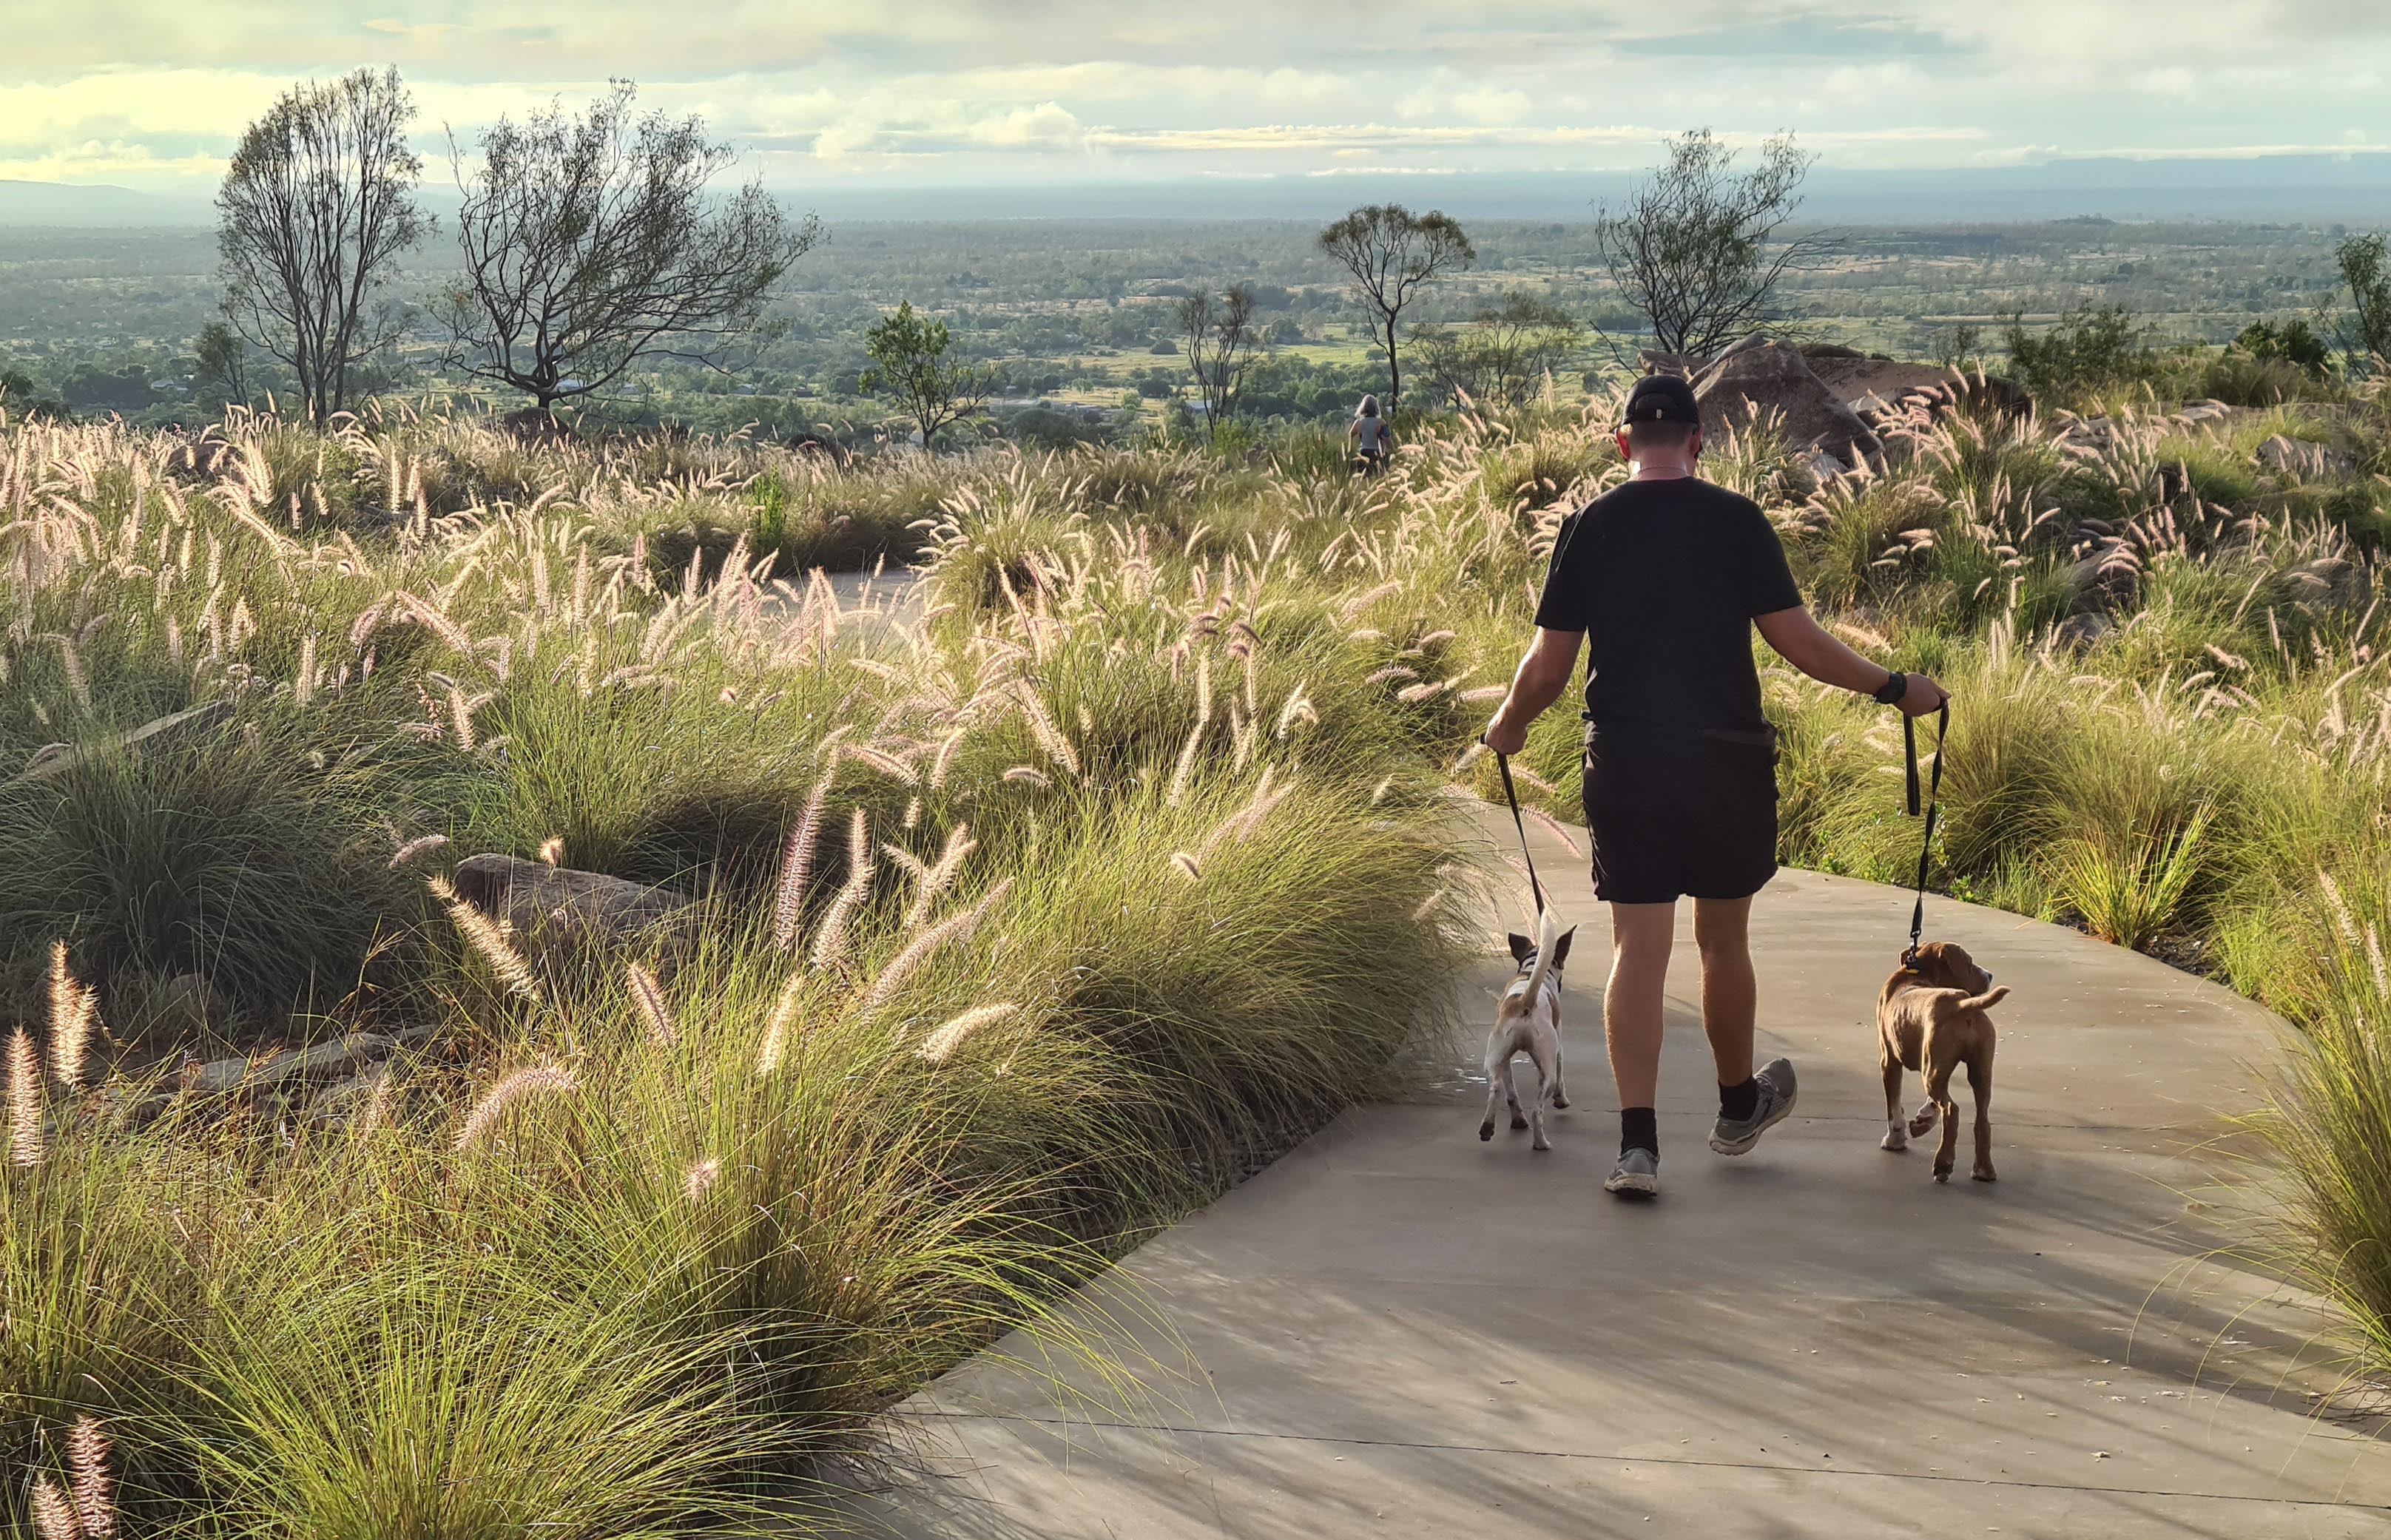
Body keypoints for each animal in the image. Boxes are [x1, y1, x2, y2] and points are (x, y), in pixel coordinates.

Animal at [1472, 908, 1568, 1147]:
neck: (1531, 970)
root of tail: (1525, 1001)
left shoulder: (1505, 1061)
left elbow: (1511, 1091)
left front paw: (1517, 1119)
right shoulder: (1559, 1048)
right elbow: (1562, 1075)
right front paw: (1562, 1100)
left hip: (1494, 1057)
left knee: (1495, 1088)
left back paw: (1488, 1127)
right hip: (1547, 1068)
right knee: (1538, 1109)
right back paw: (1541, 1143)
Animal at [1874, 937, 2008, 1181]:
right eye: (1970, 963)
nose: (1990, 975)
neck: (1917, 975)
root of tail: (1961, 1003)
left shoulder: (1889, 1061)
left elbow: (1894, 1108)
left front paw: (1894, 1140)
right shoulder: (1938, 1065)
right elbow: (1932, 1105)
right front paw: (1923, 1119)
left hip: (1931, 1070)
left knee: (1951, 1110)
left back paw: (1943, 1164)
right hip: (1978, 1071)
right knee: (1981, 1118)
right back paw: (1984, 1170)